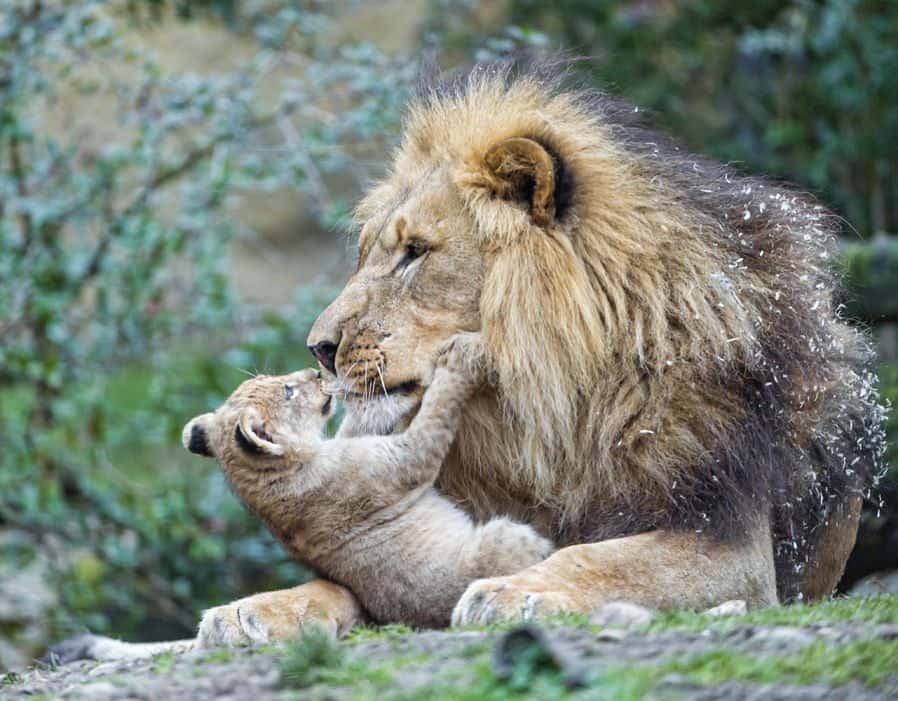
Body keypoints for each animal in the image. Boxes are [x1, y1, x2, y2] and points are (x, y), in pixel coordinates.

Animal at [180, 339, 553, 632]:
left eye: (273, 381)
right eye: (288, 391)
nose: (316, 373)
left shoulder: (357, 444)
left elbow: (359, 419)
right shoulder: (402, 461)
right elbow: (435, 413)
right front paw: (456, 360)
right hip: (504, 536)